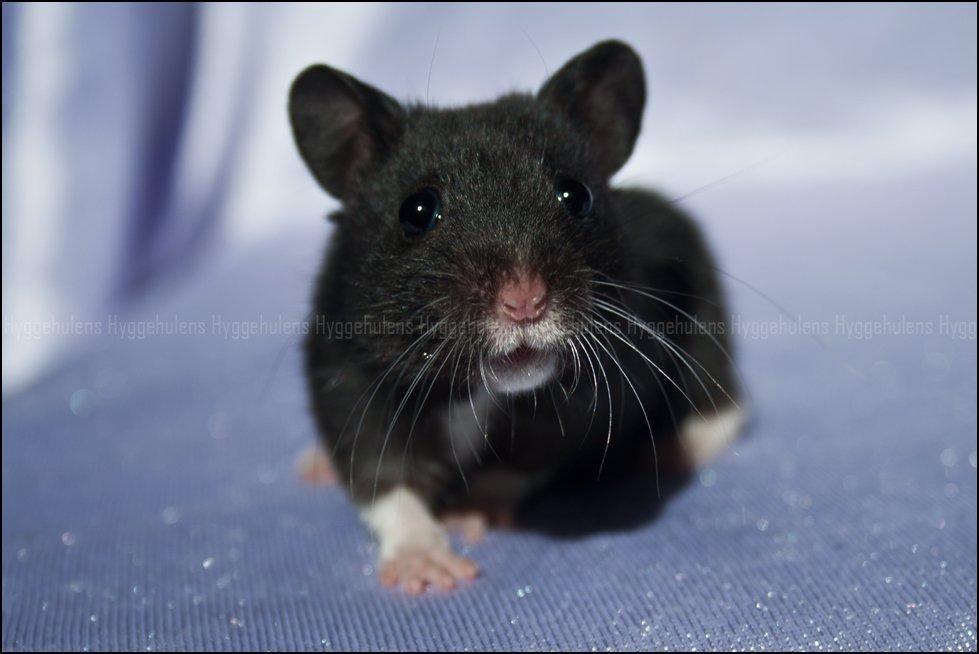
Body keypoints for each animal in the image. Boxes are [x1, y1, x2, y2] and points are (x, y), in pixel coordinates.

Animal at [289, 40, 743, 594]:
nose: (525, 301)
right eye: (416, 211)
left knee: (725, 406)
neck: (476, 389)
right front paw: (429, 570)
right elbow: (381, 473)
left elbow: (524, 458)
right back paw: (312, 467)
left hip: (709, 325)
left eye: (576, 195)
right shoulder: (346, 373)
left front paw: (467, 513)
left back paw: (674, 449)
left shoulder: (596, 389)